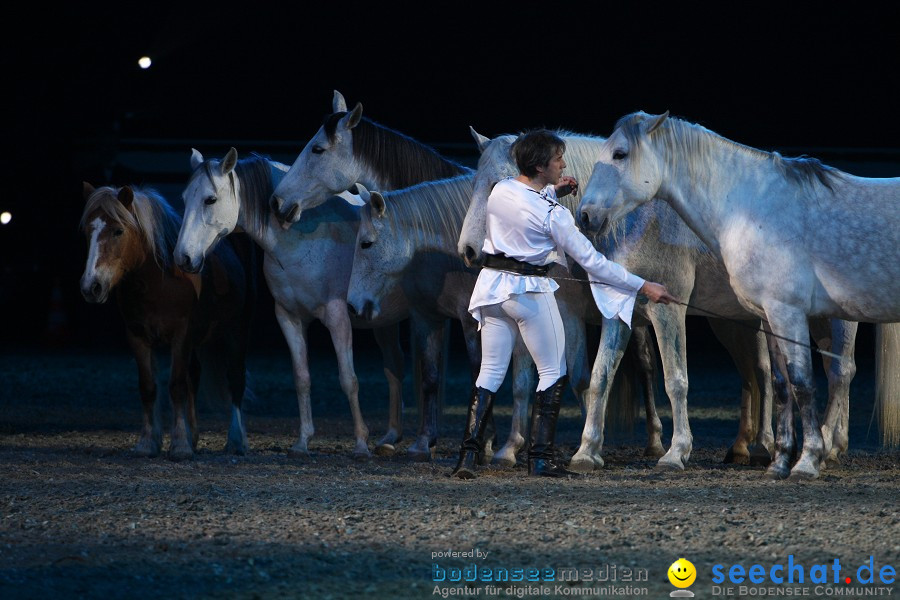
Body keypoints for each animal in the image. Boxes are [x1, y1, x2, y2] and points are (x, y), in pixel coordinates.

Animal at [79, 183, 255, 460]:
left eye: (118, 230)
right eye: (88, 231)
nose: (91, 287)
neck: (161, 280)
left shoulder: (180, 337)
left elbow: (177, 387)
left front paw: (180, 445)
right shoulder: (138, 337)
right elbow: (149, 387)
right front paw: (148, 443)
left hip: (237, 330)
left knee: (235, 379)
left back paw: (237, 441)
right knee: (195, 375)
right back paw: (195, 436)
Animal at [460, 129, 856, 472]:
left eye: (497, 185)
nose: (468, 251)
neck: (633, 218)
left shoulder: (667, 310)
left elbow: (675, 379)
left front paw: (675, 452)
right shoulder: (614, 311)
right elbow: (598, 375)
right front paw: (588, 450)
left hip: (830, 318)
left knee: (839, 371)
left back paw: (824, 445)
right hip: (746, 321)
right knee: (762, 373)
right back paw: (761, 447)